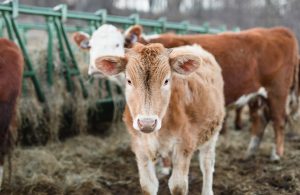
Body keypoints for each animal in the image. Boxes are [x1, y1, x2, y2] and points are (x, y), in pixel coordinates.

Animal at [92, 43, 224, 195]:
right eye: (129, 81)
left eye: (166, 81)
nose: (147, 123)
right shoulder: (140, 147)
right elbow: (148, 185)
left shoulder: (184, 145)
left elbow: (178, 186)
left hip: (212, 132)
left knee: (207, 164)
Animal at [123, 24, 298, 161]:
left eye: (120, 44)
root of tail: (278, 30)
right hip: (257, 96)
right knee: (260, 120)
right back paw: (249, 154)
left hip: (277, 92)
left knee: (279, 121)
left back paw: (276, 155)